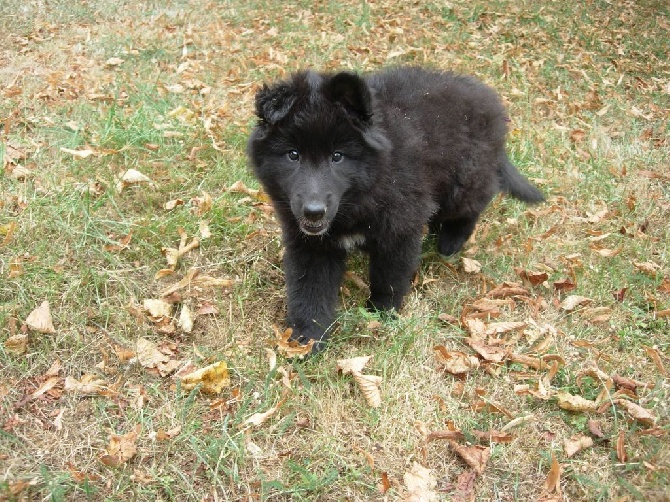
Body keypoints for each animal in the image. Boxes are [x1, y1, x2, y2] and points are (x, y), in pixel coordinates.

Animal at [248, 66, 544, 352]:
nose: (313, 211)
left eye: (337, 156)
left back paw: (450, 241)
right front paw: (306, 338)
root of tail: (488, 99)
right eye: (293, 155)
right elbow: (310, 289)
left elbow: (388, 277)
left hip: (464, 179)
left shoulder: (399, 230)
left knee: (477, 199)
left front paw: (381, 314)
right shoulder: (311, 244)